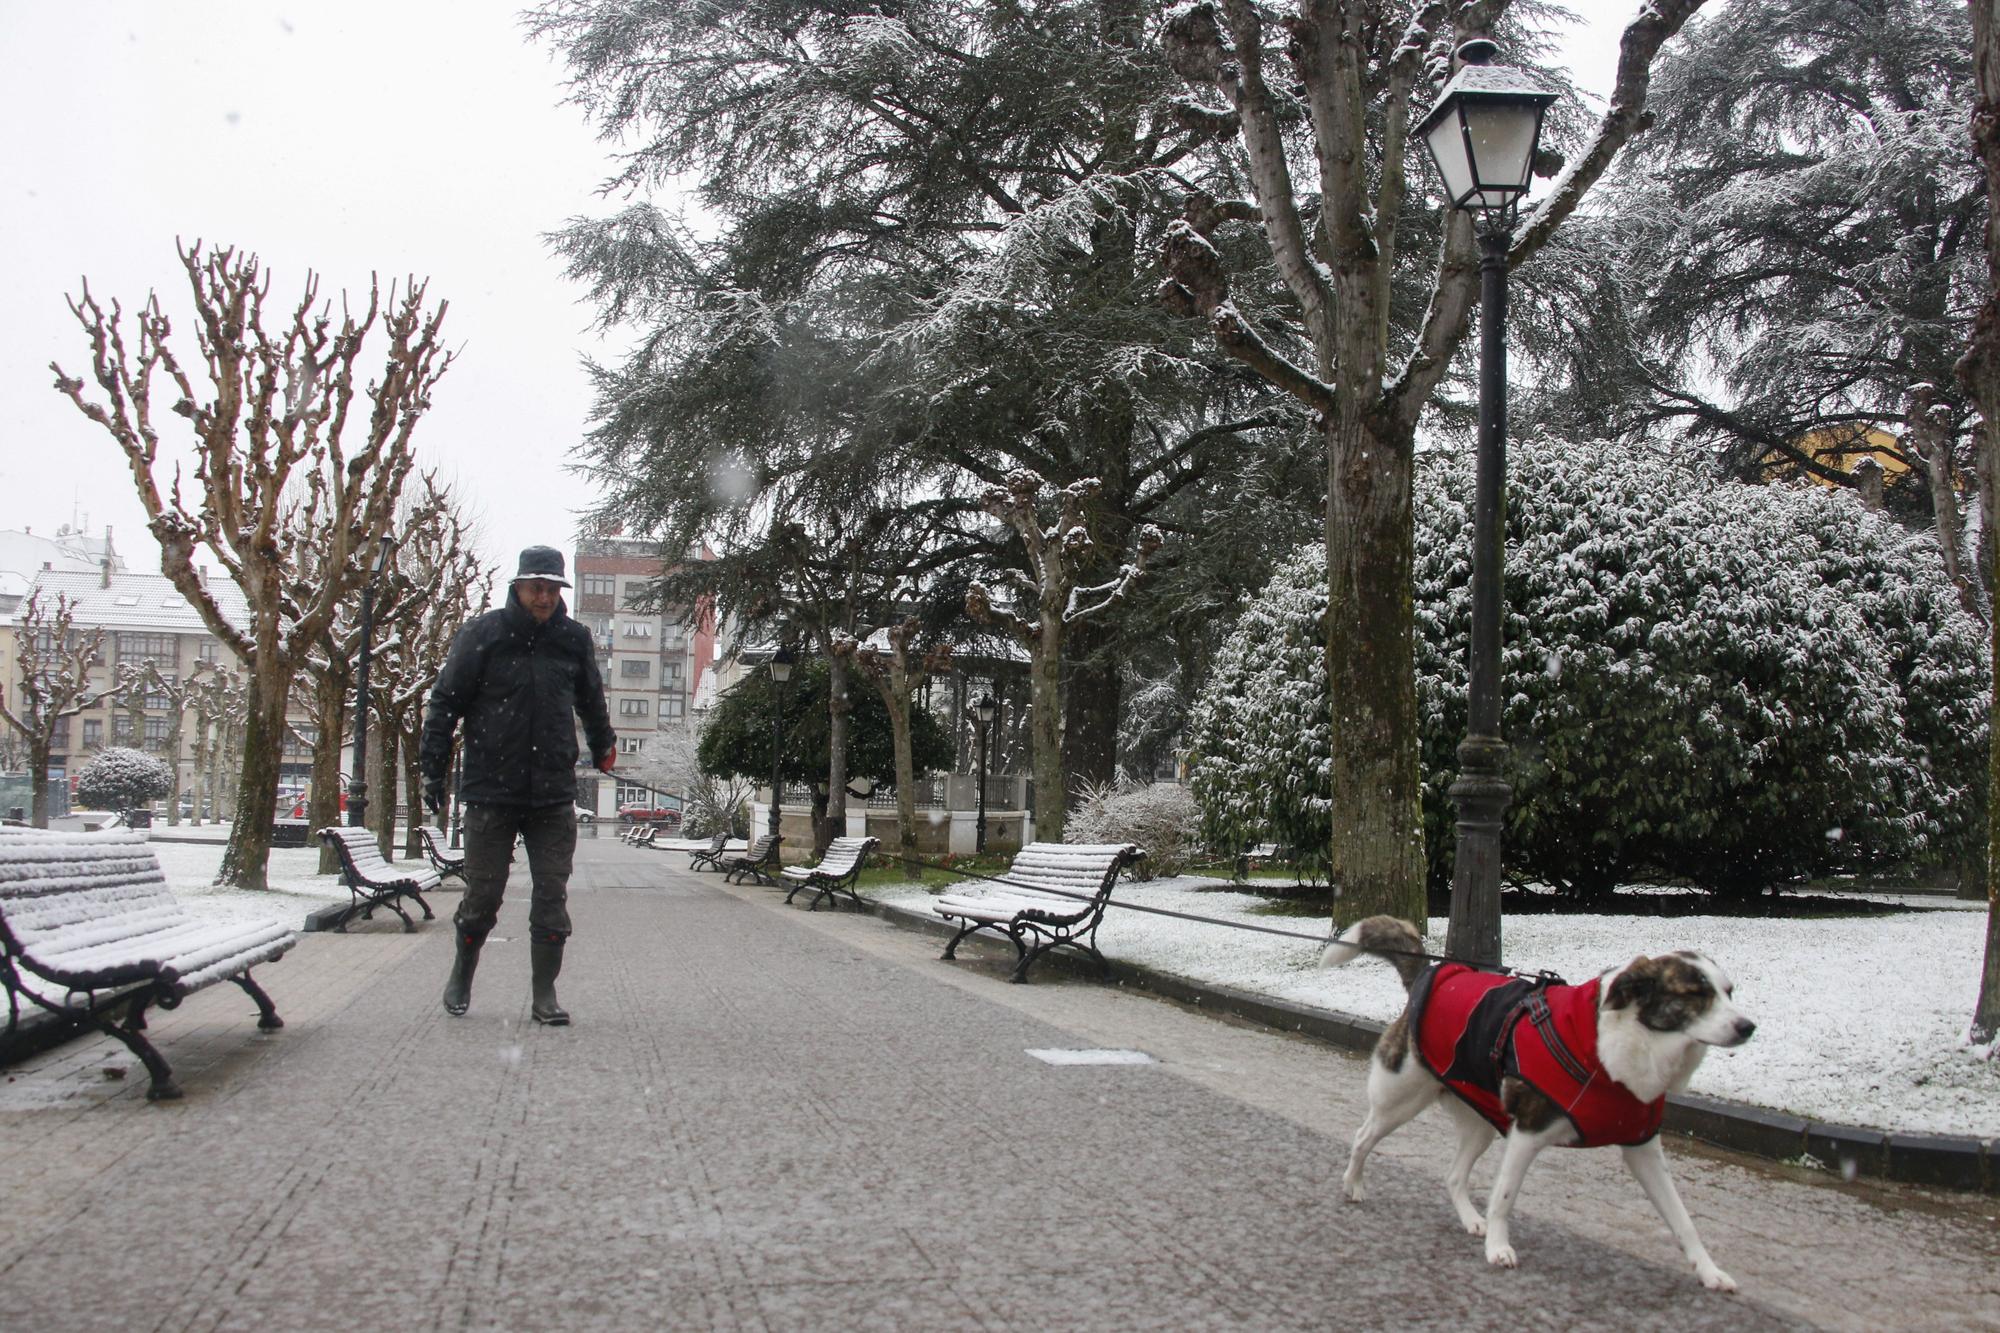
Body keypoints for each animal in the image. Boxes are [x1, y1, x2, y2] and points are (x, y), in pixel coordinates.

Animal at [1320, 912, 1760, 1288]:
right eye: (1695, 994)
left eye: (1728, 992)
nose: (1747, 1026)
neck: (1607, 1047)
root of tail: (1431, 974)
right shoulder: (1527, 1134)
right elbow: (1504, 1197)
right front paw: (1498, 1248)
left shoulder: (1642, 1146)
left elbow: (1682, 1219)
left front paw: (1708, 1271)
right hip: (1400, 1099)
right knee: (1363, 1137)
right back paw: (1353, 1184)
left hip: (1480, 1119)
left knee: (1454, 1175)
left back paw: (1470, 1219)